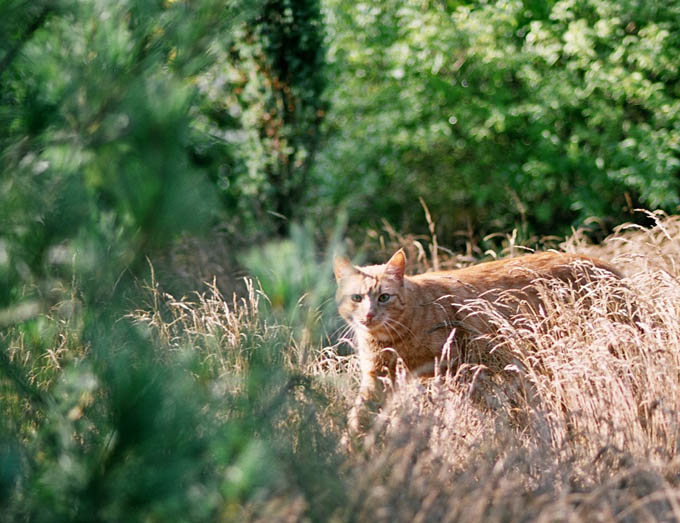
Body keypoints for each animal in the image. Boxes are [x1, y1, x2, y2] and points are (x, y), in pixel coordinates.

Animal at [332, 250, 624, 430]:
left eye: (384, 297)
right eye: (357, 298)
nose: (369, 315)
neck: (394, 337)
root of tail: (607, 266)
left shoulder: (463, 367)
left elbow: (489, 410)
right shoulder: (377, 377)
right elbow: (359, 415)